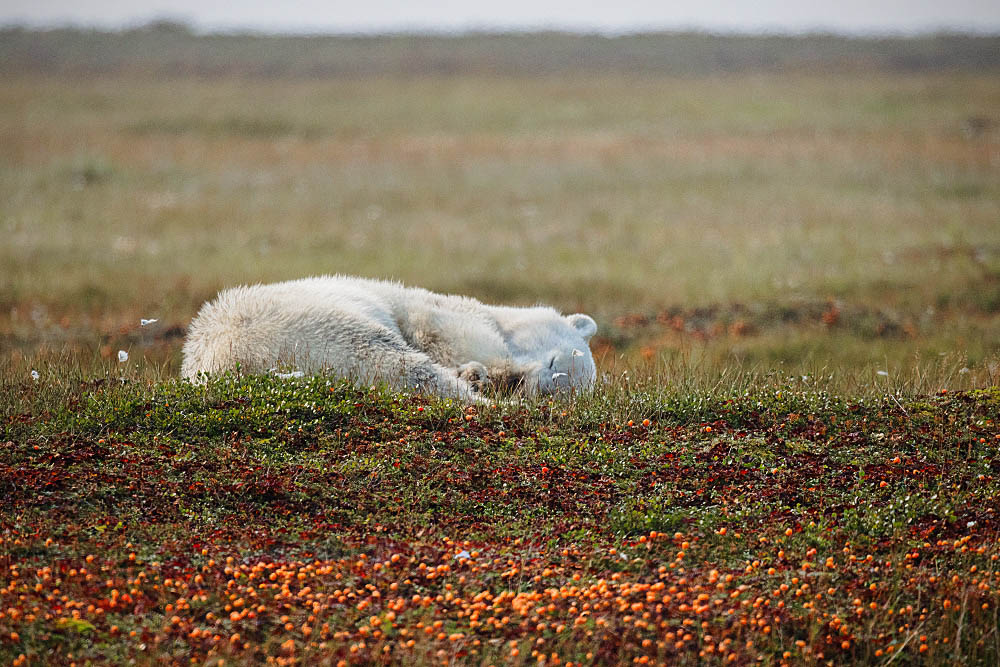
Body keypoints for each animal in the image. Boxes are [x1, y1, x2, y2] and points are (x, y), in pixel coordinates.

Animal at [181, 276, 596, 402]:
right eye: (556, 363)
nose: (543, 388)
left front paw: (479, 375)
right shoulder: (434, 312)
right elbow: (449, 333)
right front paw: (497, 374)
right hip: (315, 328)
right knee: (400, 362)